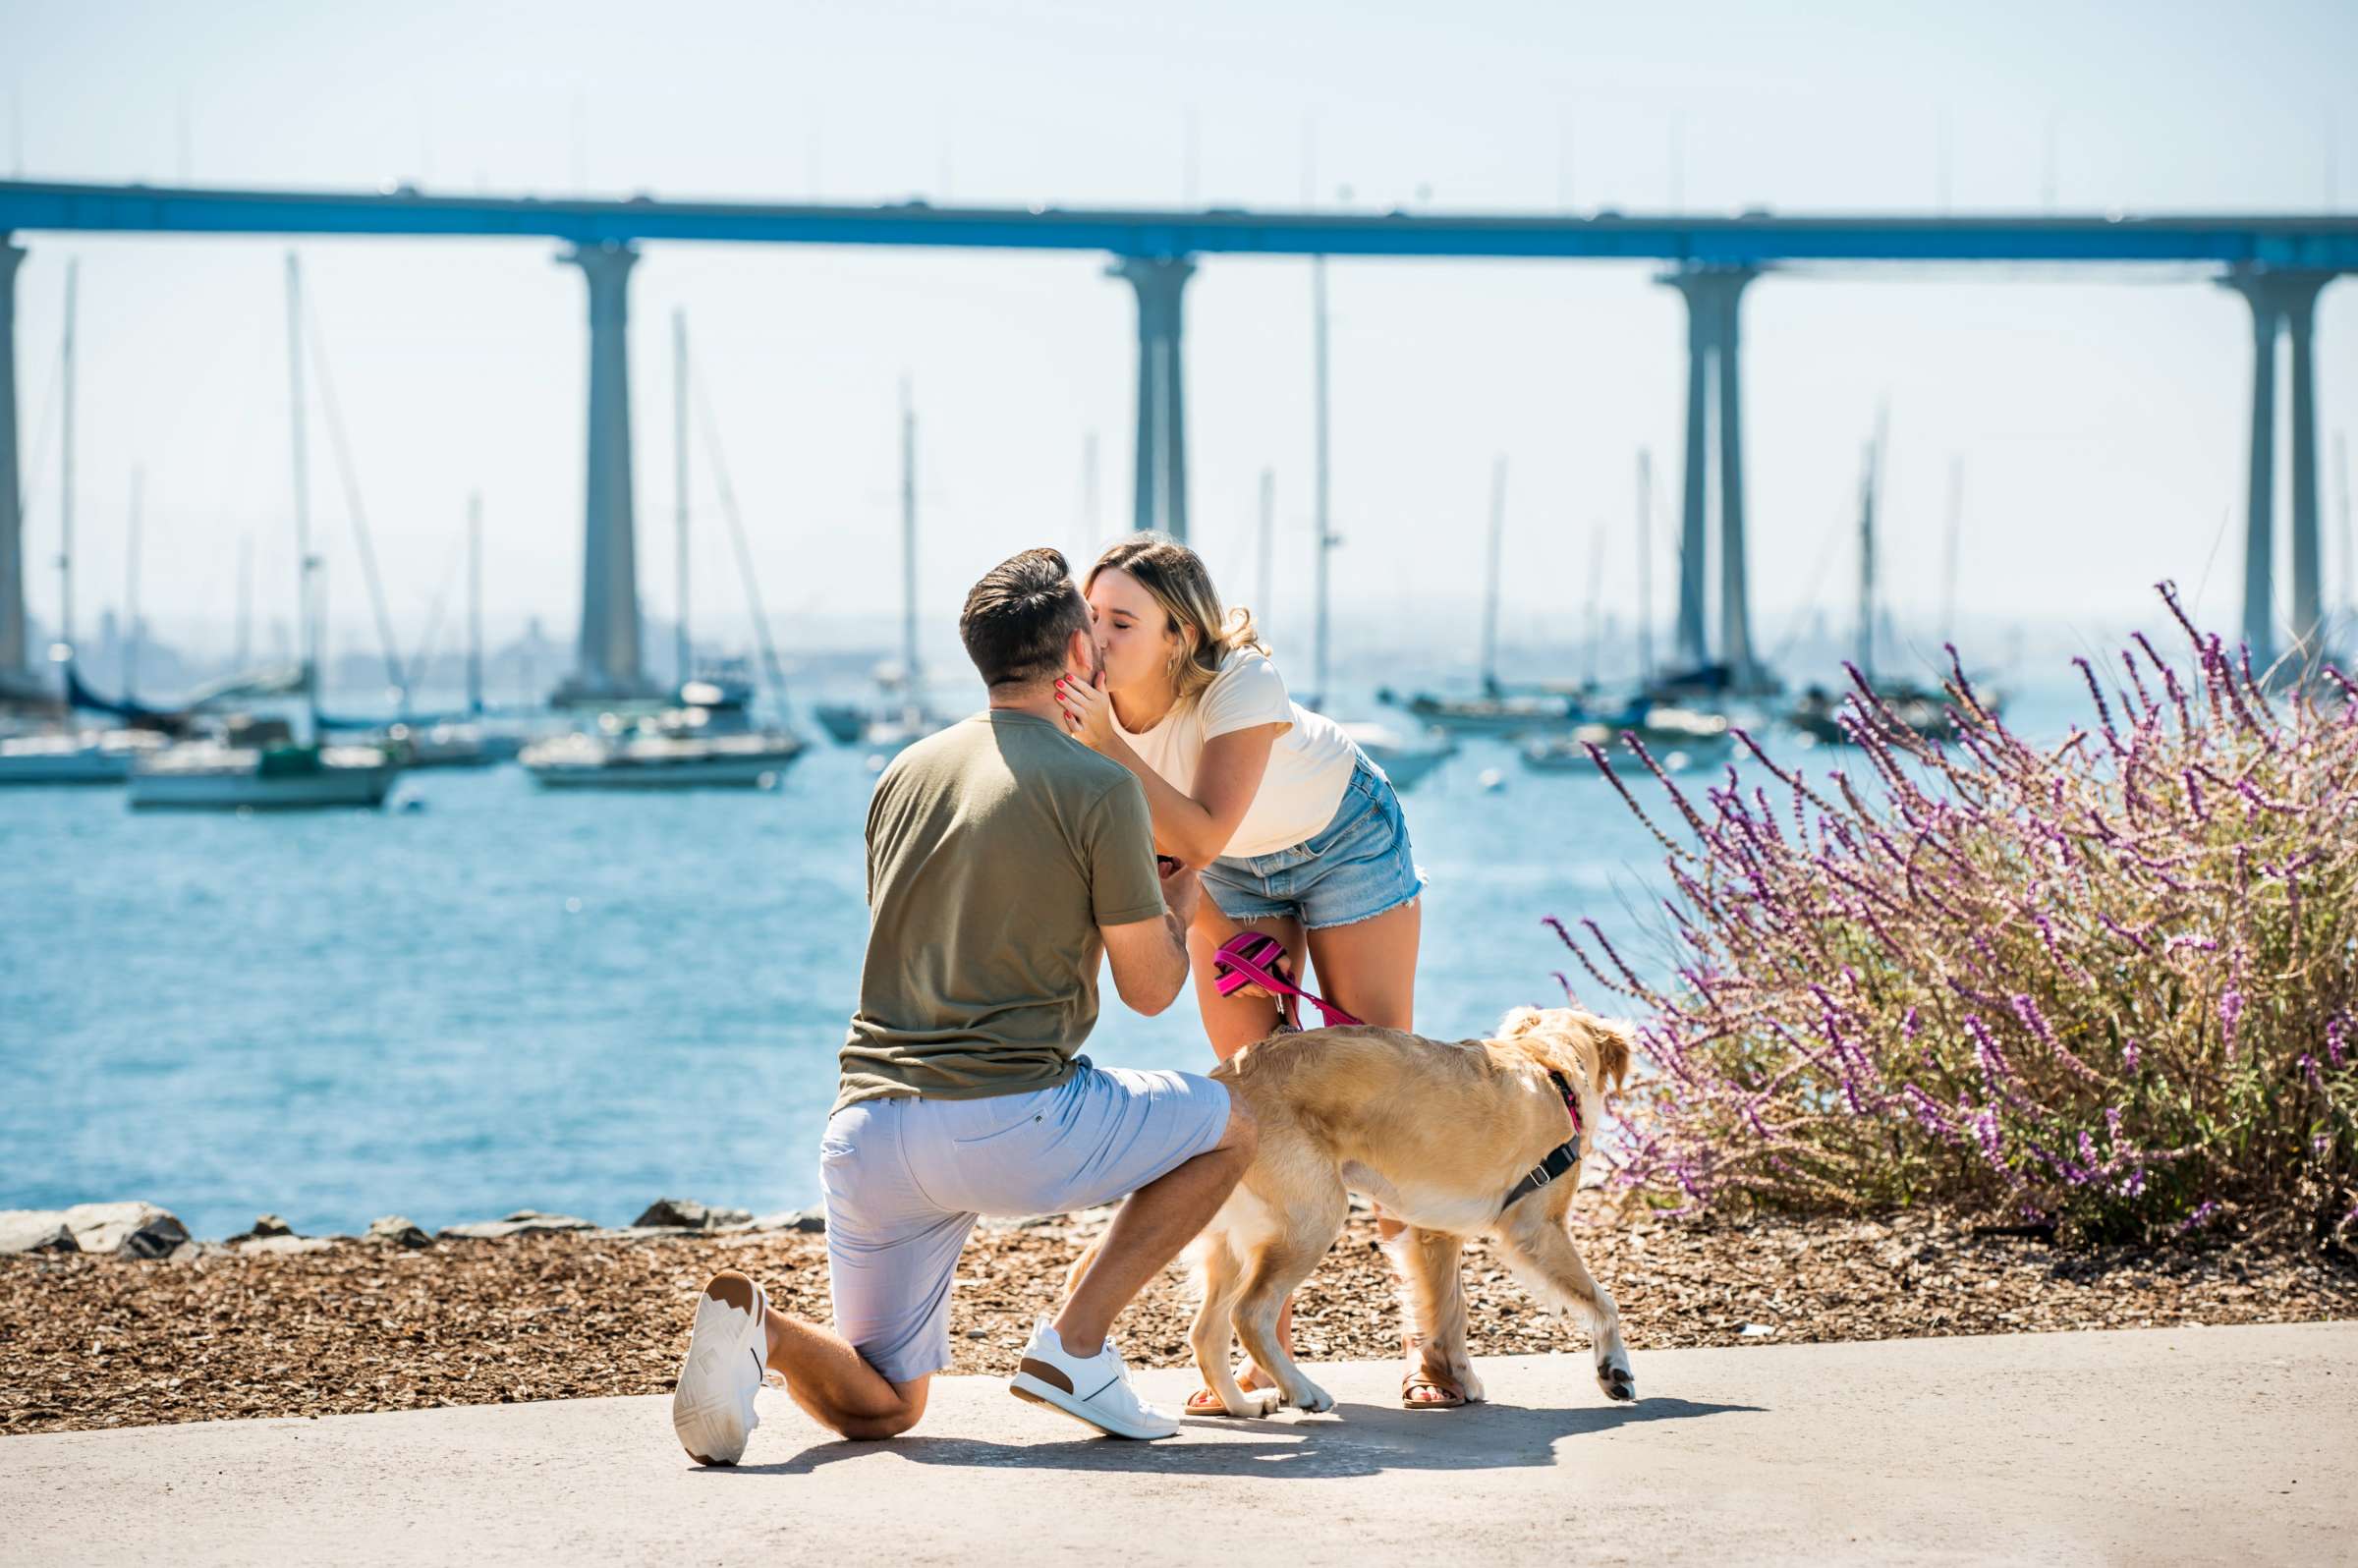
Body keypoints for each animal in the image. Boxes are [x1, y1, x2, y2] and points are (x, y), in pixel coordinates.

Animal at [1169, 1009, 1631, 1415]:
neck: (1548, 1065)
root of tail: (1224, 1083)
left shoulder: (1437, 1235)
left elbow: (1451, 1314)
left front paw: (1461, 1379)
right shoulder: (1538, 1229)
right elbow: (1602, 1300)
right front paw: (1614, 1369)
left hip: (1231, 1243)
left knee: (1205, 1333)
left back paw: (1242, 1405)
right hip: (1313, 1218)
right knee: (1250, 1314)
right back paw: (1302, 1390)